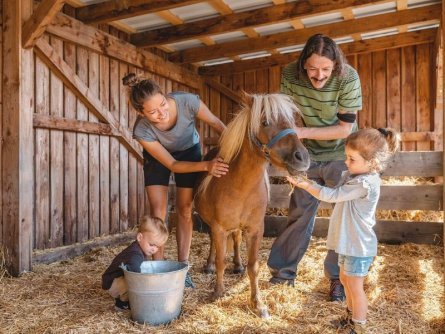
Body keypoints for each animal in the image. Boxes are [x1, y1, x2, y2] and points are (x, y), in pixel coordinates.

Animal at [194, 92, 308, 318]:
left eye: (292, 121)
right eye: (265, 122)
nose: (302, 158)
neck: (240, 186)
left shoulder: (256, 229)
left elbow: (253, 266)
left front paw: (258, 304)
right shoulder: (219, 228)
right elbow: (220, 261)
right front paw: (218, 291)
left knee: (237, 239)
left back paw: (237, 264)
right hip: (212, 225)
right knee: (213, 245)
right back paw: (209, 265)